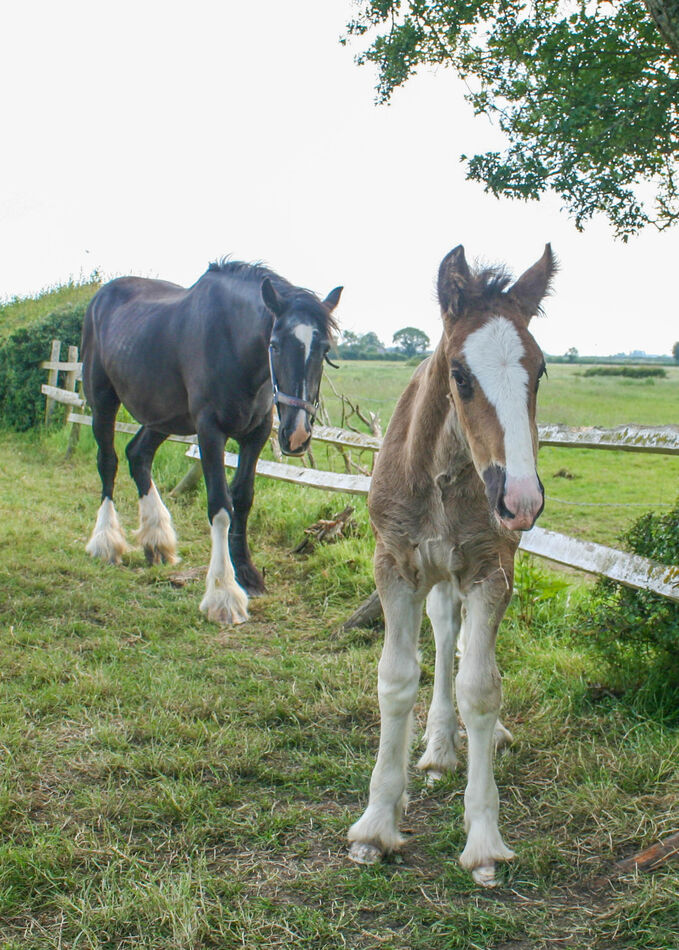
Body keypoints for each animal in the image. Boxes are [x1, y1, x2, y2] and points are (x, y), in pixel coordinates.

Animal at [82, 262, 342, 624]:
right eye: (274, 345)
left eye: (324, 349)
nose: (297, 435)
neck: (231, 342)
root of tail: (100, 297)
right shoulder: (209, 431)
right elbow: (220, 505)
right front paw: (224, 593)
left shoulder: (256, 433)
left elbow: (243, 499)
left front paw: (247, 574)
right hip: (103, 401)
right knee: (108, 463)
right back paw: (106, 543)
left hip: (163, 416)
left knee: (138, 455)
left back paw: (157, 541)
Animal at [348, 242, 556, 888]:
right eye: (460, 375)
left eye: (541, 369)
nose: (520, 501)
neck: (442, 473)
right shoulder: (394, 567)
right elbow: (396, 679)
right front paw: (376, 824)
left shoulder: (491, 571)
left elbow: (482, 689)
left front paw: (484, 839)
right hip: (435, 575)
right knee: (442, 634)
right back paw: (438, 748)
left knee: (462, 647)